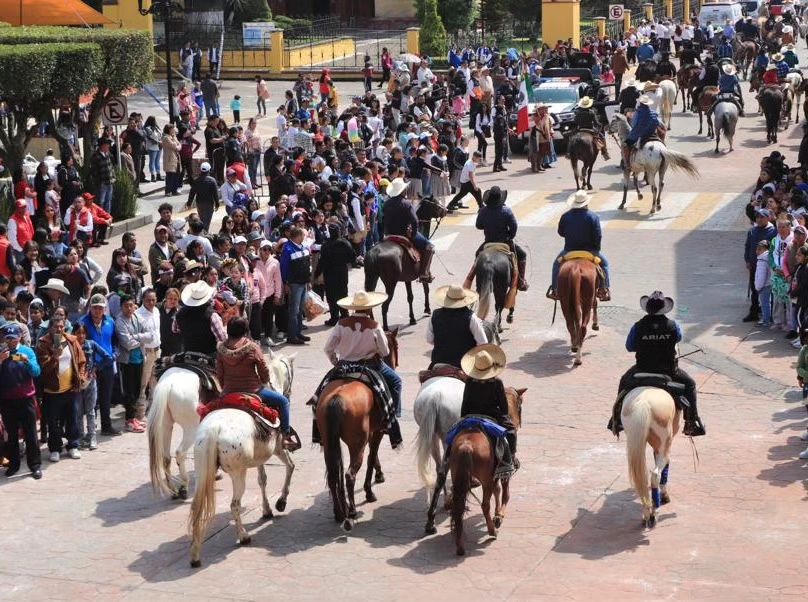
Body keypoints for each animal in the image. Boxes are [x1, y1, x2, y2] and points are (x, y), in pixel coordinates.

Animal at [148, 350, 294, 500]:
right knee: (180, 453)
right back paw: (183, 487)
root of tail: (168, 384)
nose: (288, 394)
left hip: (166, 425)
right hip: (191, 428)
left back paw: (173, 490)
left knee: (165, 458)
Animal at [189, 352, 296, 564]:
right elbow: (290, 467)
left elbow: (262, 480)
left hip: (202, 469)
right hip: (238, 473)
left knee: (196, 506)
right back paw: (243, 536)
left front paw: (267, 510)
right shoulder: (278, 449)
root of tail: (214, 429)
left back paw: (195, 555)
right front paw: (280, 502)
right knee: (234, 505)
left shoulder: (260, 457)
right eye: (291, 372)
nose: (289, 394)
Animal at [314, 330, 400, 528]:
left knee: (333, 476)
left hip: (329, 443)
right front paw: (370, 489)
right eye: (396, 346)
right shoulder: (377, 432)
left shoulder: (373, 432)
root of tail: (336, 398)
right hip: (356, 445)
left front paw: (378, 474)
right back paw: (351, 512)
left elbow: (373, 457)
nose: (395, 363)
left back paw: (339, 513)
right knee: (349, 475)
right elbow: (371, 458)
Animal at [422, 384, 532, 552]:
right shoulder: (502, 473)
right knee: (485, 504)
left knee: (447, 489)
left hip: (455, 470)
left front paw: (497, 514)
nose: (519, 422)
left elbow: (497, 490)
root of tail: (467, 444)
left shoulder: (493, 475)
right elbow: (504, 493)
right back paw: (492, 531)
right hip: (485, 479)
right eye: (520, 404)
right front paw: (499, 516)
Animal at [620, 386, 680, 528]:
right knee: (655, 474)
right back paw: (654, 512)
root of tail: (644, 402)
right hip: (665, 441)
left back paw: (646, 512)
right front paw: (664, 495)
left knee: (641, 473)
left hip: (635, 440)